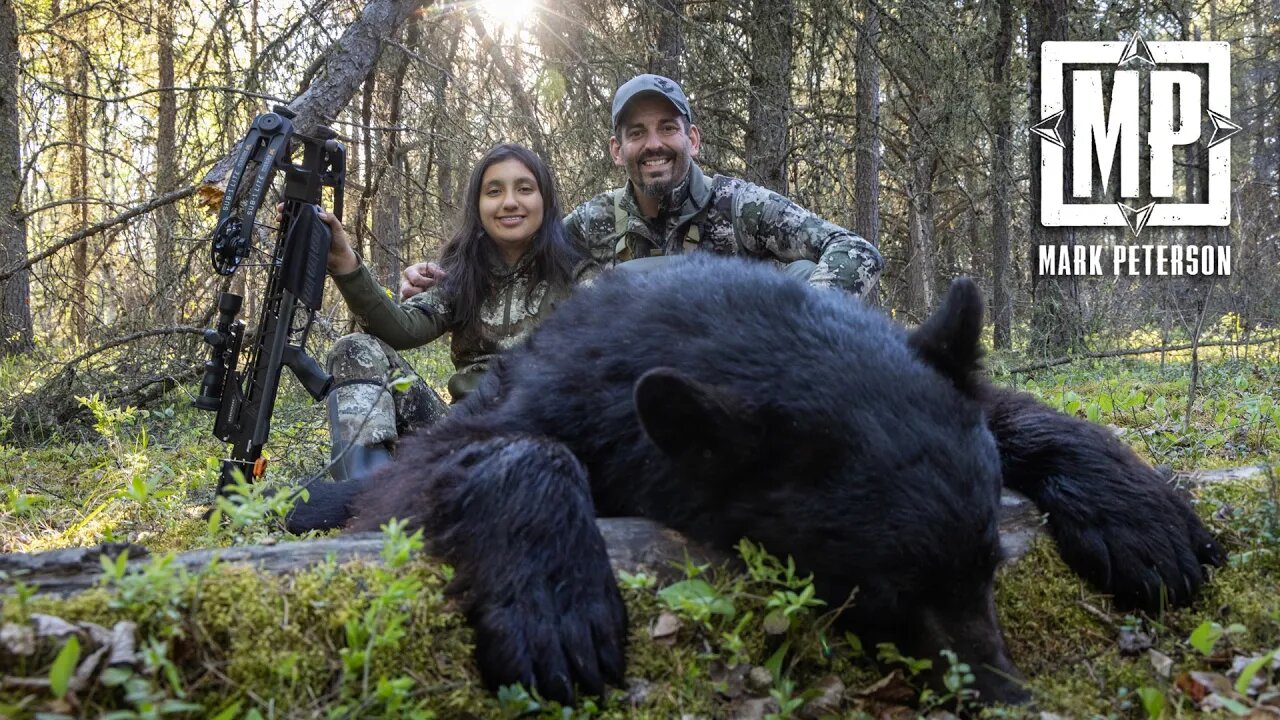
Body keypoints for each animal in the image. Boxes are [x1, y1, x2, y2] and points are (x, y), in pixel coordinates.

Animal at [288, 254, 1218, 702]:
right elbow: (461, 462)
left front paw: (1148, 524)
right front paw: (558, 614)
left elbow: (1017, 410)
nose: (1007, 694)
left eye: (991, 561)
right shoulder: (556, 398)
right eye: (885, 593)